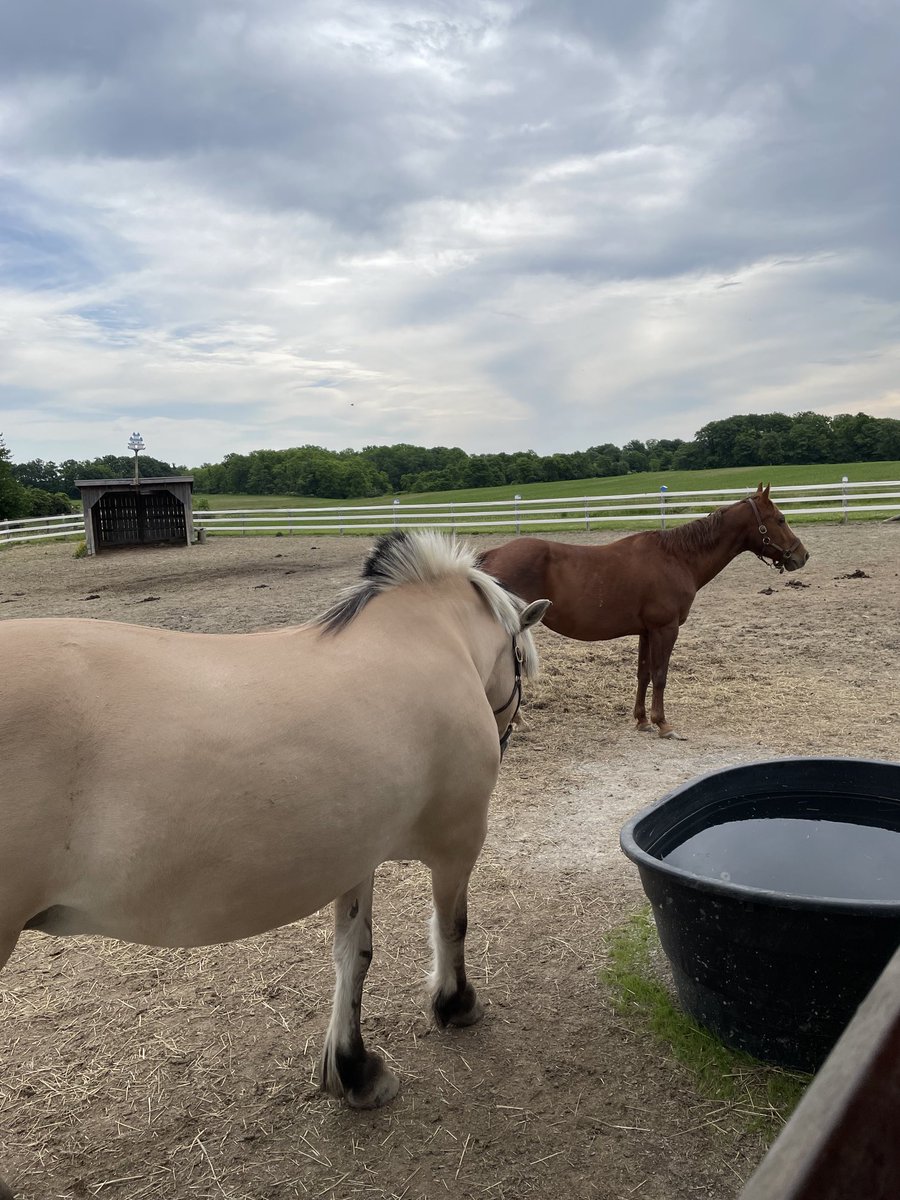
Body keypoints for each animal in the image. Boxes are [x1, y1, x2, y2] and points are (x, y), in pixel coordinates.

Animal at [0, 531, 549, 1198]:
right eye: (518, 661)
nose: (507, 733)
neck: (425, 641)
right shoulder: (456, 843)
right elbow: (451, 927)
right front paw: (455, 1005)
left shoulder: (355, 853)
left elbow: (353, 956)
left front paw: (354, 1070)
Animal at [478, 484, 809, 739]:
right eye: (780, 519)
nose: (802, 555)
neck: (677, 558)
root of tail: (492, 554)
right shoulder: (666, 629)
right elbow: (661, 675)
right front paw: (663, 724)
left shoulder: (647, 631)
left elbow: (644, 674)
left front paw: (642, 720)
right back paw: (517, 721)